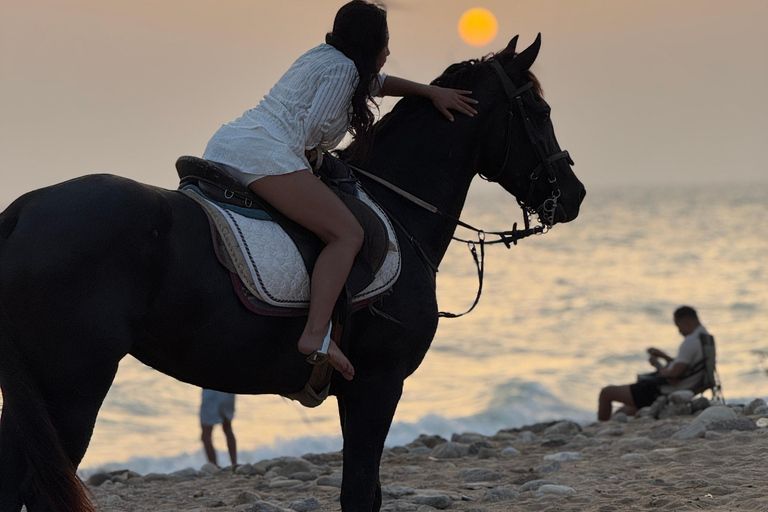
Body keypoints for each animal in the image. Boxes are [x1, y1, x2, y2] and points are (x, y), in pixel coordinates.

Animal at [0, 35, 584, 512]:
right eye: (540, 109)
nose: (574, 195)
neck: (397, 208)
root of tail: (22, 210)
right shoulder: (378, 383)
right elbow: (360, 495)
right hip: (71, 386)